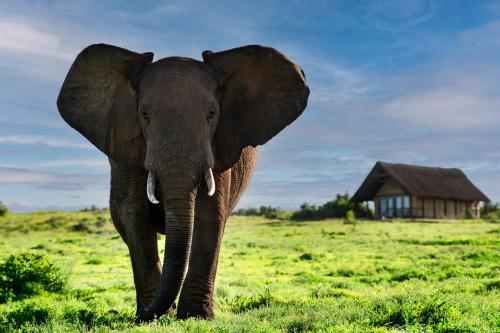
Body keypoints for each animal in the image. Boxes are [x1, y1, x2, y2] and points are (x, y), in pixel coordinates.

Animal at [55, 42, 308, 320]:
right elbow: (135, 216)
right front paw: (152, 317)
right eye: (145, 115)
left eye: (212, 114)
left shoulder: (219, 147)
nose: (145, 312)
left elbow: (210, 217)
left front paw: (195, 317)